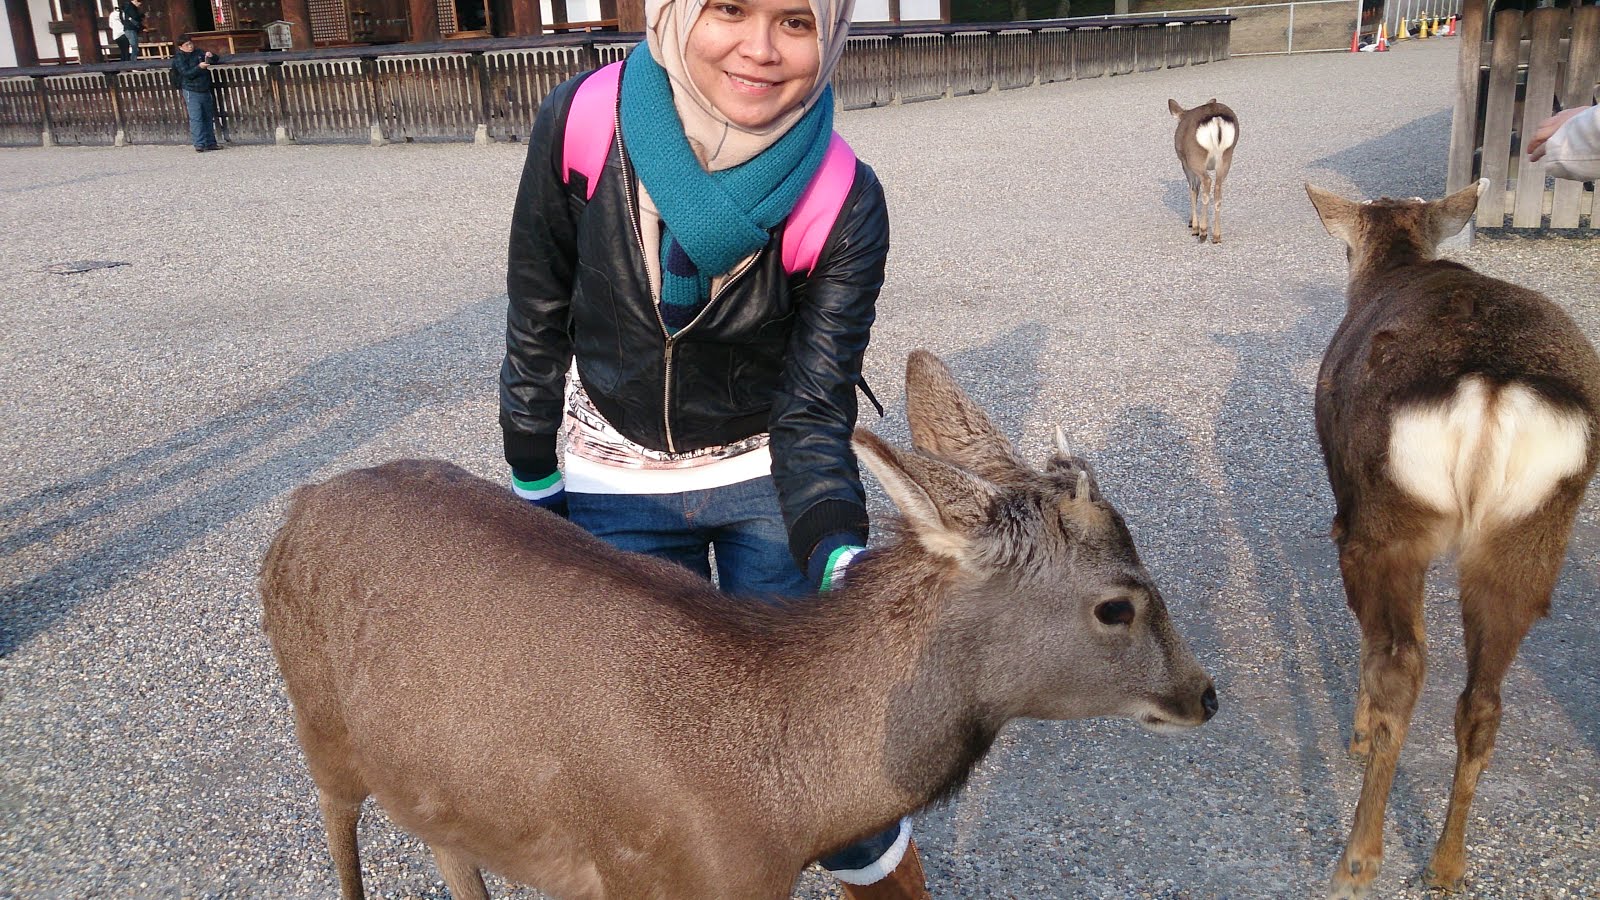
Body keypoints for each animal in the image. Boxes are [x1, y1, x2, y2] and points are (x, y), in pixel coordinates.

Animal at [262, 349, 1216, 896]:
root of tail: (297, 507)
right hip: (318, 727)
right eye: (1117, 605)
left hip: (430, 774)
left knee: (448, 850)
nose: (1205, 693)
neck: (777, 814)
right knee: (340, 834)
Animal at [1171, 98, 1241, 241]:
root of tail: (1216, 120)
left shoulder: (1186, 164)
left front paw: (1194, 226)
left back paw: (1203, 231)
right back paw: (1216, 236)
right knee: (1218, 188)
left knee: (1206, 182)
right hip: (1226, 156)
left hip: (1196, 156)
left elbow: (1193, 190)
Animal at [1305, 182, 1600, 896]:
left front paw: (1357, 733)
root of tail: (1492, 388)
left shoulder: (1346, 508)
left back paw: (1359, 857)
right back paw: (1447, 863)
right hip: (1531, 533)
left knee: (1402, 663)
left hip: (1388, 515)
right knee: (1483, 701)